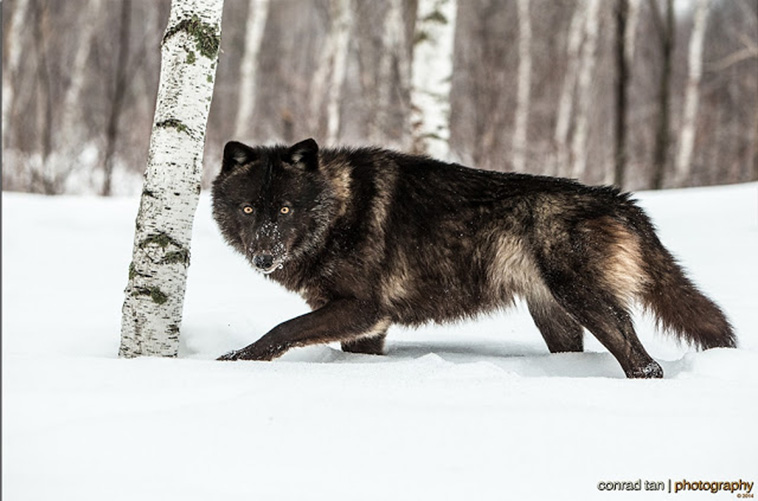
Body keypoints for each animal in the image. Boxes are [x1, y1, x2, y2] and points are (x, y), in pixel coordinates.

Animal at [212, 138, 735, 378]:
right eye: (248, 209)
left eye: (285, 209)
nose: (263, 256)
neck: (339, 209)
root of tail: (621, 200)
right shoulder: (367, 327)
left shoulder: (362, 309)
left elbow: (282, 330)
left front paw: (233, 360)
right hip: (555, 316)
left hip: (586, 300)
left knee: (645, 364)